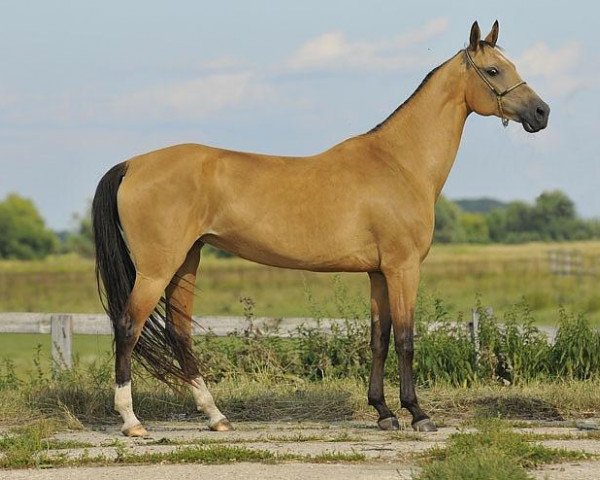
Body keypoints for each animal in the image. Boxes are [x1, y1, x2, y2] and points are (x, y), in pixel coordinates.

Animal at [92, 20, 548, 436]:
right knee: (128, 327)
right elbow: (405, 339)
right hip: (156, 270)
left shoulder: (378, 273)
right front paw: (418, 414)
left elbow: (379, 339)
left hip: (186, 262)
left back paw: (216, 416)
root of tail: (132, 164)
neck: (399, 162)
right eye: (494, 70)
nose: (542, 112)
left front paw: (383, 413)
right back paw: (132, 422)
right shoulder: (403, 268)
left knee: (179, 332)